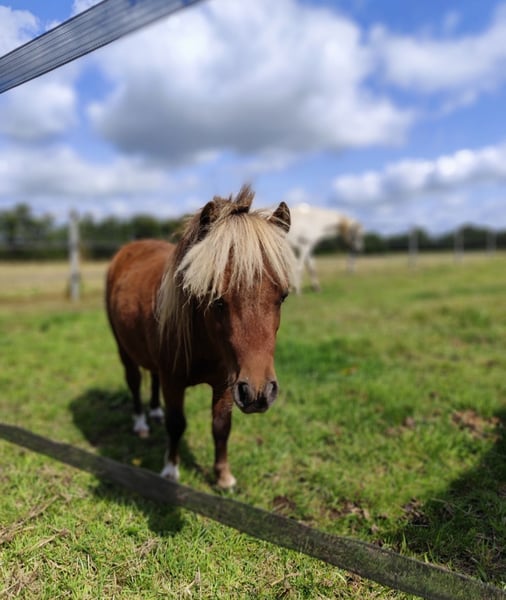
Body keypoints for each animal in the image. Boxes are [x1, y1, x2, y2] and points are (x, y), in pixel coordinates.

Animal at [105, 185, 295, 489]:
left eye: (283, 297)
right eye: (216, 299)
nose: (258, 393)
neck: (204, 340)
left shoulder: (228, 383)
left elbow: (221, 426)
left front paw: (223, 477)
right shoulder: (173, 381)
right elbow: (176, 424)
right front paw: (170, 471)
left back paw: (154, 413)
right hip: (124, 349)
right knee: (134, 382)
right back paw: (141, 424)